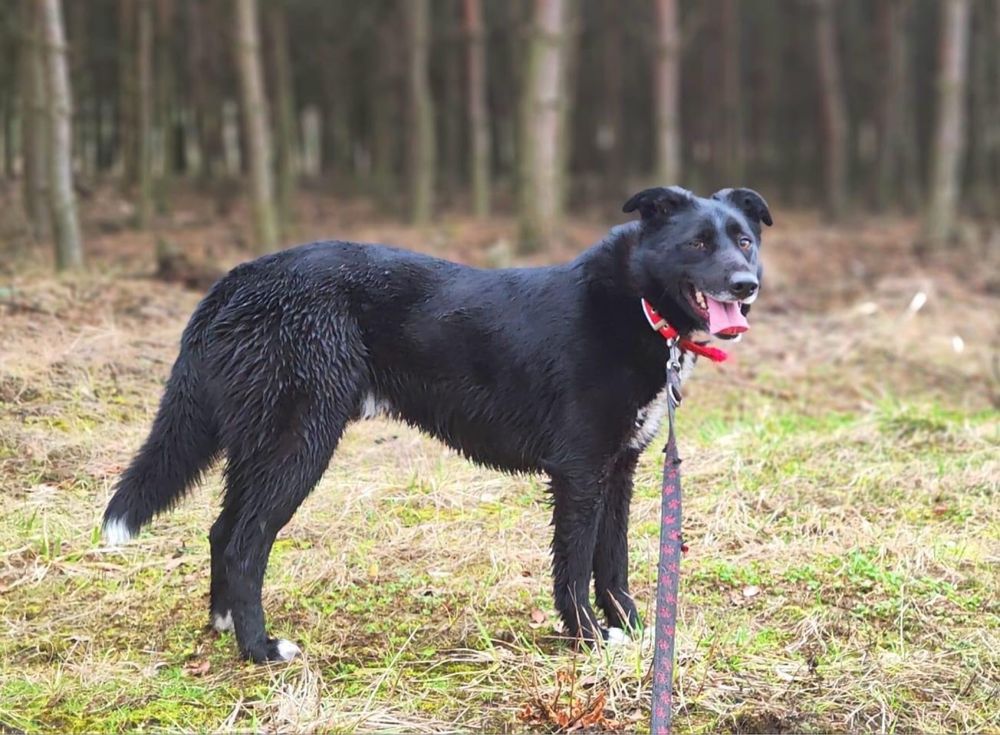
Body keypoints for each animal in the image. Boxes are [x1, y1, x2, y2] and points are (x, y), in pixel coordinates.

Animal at [103, 184, 772, 660]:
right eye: (697, 244)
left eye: (743, 240)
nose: (747, 285)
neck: (635, 303)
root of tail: (235, 279)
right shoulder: (580, 471)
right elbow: (577, 564)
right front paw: (586, 639)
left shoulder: (621, 466)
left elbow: (614, 562)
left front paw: (632, 633)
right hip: (300, 442)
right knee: (246, 543)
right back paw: (261, 650)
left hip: (260, 441)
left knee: (222, 532)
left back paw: (223, 627)